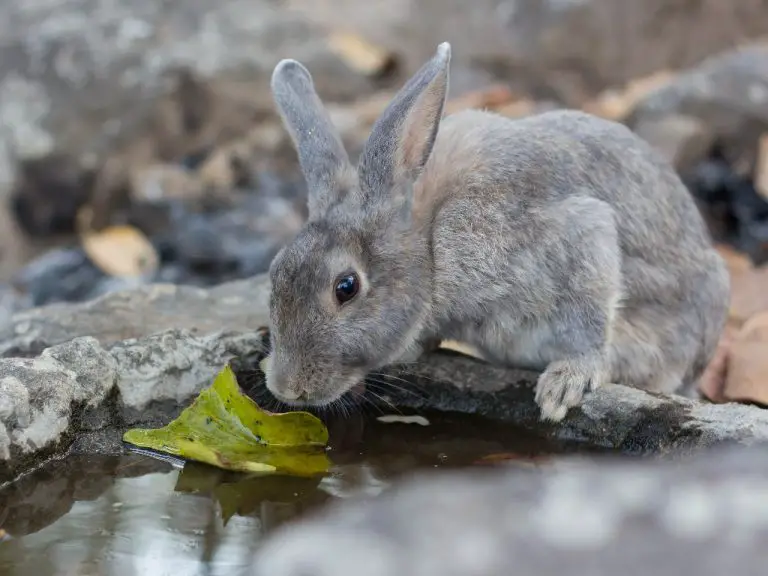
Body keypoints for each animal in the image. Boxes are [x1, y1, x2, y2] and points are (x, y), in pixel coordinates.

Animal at [262, 39, 732, 418]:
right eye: (275, 272)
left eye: (346, 287)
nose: (287, 388)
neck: (431, 247)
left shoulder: (579, 234)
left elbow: (590, 312)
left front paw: (565, 384)